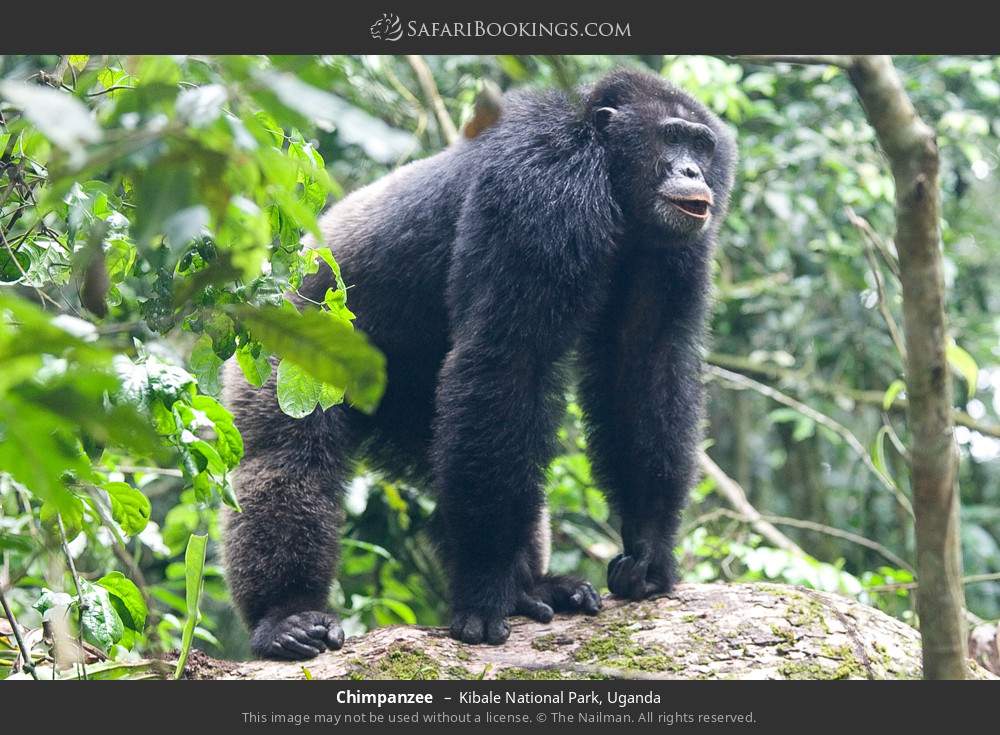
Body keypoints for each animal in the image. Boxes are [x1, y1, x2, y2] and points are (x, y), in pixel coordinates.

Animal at [222, 68, 736, 659]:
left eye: (701, 144)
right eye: (671, 137)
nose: (692, 170)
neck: (608, 171)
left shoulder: (674, 251)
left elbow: (644, 365)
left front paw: (648, 550)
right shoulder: (540, 184)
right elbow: (508, 358)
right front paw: (487, 594)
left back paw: (535, 585)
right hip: (280, 349)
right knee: (286, 461)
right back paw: (287, 615)